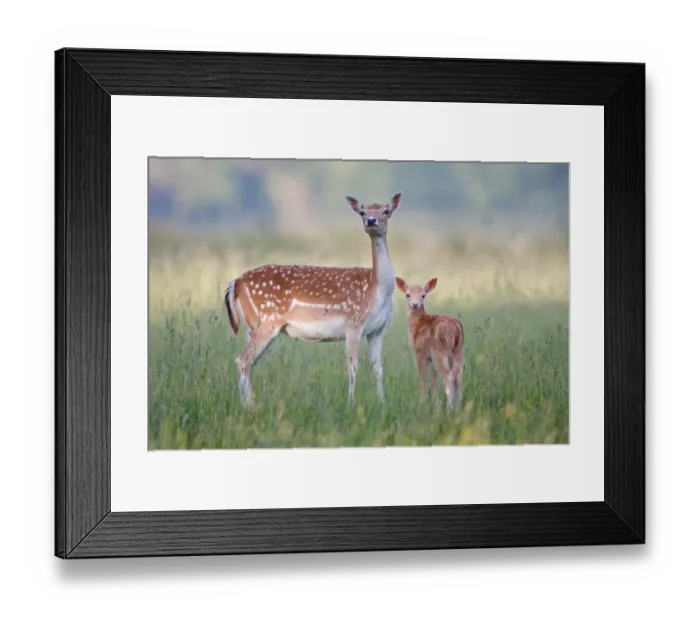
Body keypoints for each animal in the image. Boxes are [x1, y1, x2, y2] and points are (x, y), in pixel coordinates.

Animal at [224, 192, 403, 408]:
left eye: (386, 211)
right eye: (362, 211)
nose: (371, 220)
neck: (378, 290)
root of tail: (235, 283)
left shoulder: (377, 330)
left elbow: (378, 369)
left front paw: (383, 403)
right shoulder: (353, 324)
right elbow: (352, 368)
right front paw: (350, 403)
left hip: (252, 326)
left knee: (248, 362)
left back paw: (247, 404)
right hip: (266, 321)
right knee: (243, 360)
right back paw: (251, 405)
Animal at [394, 277, 465, 410]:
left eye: (423, 295)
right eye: (407, 294)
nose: (415, 304)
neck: (416, 324)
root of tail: (455, 328)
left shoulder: (419, 352)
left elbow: (422, 379)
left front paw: (421, 404)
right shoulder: (430, 358)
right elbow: (433, 382)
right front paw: (436, 407)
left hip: (440, 352)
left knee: (449, 377)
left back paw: (450, 409)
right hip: (457, 350)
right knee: (458, 377)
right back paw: (458, 408)